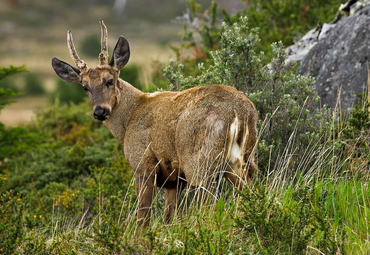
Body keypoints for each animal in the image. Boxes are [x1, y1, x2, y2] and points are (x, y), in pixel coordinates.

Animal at [51, 20, 258, 226]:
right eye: (85, 87)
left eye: (109, 80)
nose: (100, 112)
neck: (130, 117)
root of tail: (239, 111)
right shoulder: (173, 180)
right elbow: (169, 217)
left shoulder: (143, 165)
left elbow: (143, 217)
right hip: (243, 160)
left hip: (200, 162)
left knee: (208, 208)